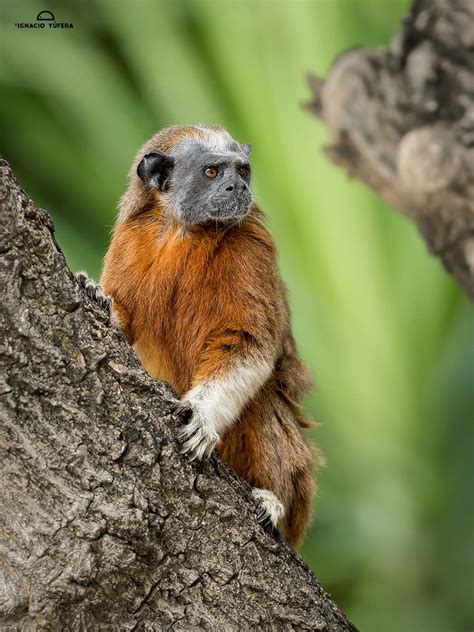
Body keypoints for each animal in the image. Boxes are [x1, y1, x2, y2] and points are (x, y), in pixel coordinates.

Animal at [82, 124, 322, 548]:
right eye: (212, 172)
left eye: (242, 171)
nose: (236, 187)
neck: (184, 231)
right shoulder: (132, 238)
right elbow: (126, 326)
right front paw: (102, 303)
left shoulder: (250, 246)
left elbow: (249, 345)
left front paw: (202, 415)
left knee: (263, 400)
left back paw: (275, 503)